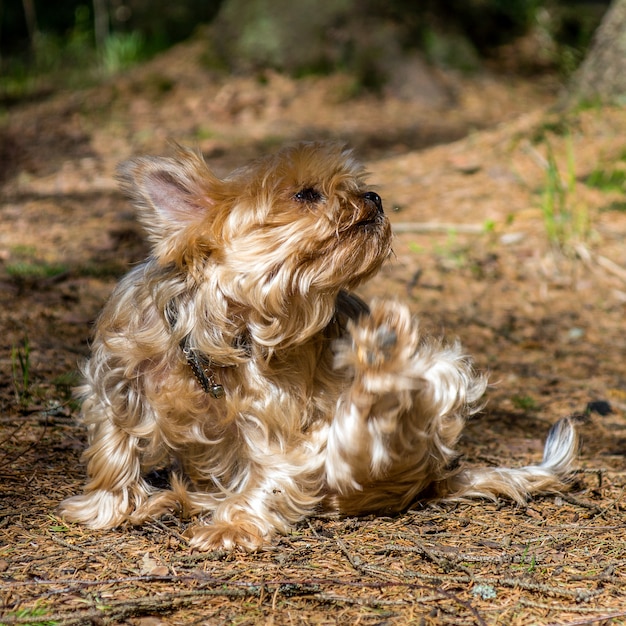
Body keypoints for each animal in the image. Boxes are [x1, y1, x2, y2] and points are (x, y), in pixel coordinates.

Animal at [58, 140, 576, 544]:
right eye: (307, 194)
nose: (374, 196)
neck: (218, 330)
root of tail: (435, 477)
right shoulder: (116, 383)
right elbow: (114, 449)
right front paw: (107, 509)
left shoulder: (274, 415)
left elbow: (270, 468)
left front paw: (233, 527)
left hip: (435, 382)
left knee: (373, 429)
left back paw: (381, 362)